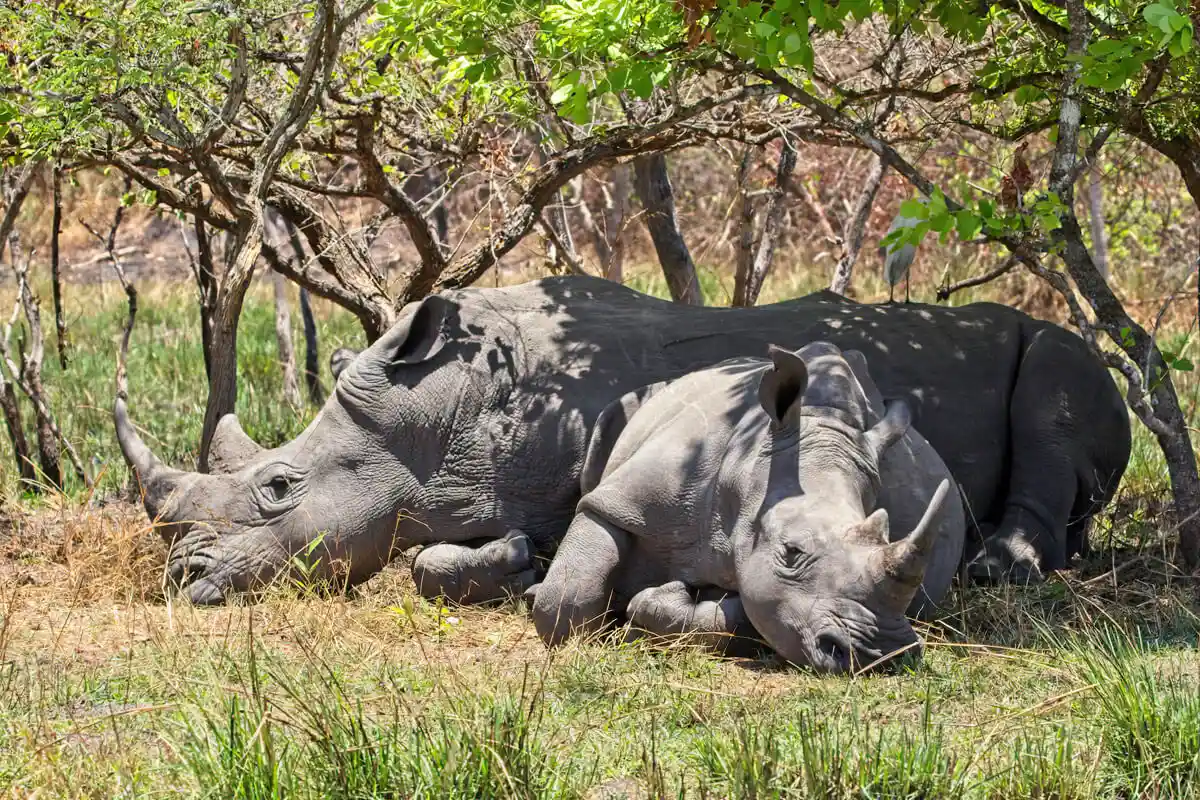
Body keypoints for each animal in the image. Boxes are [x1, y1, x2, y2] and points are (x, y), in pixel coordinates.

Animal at [113, 275, 1130, 606]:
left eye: (279, 488)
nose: (180, 577)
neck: (438, 417)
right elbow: (422, 555)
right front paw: (500, 558)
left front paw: (516, 560)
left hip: (1066, 350)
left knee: (1058, 376)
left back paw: (1002, 568)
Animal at [530, 342, 965, 673]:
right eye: (791, 551)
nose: (881, 655)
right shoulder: (626, 498)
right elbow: (565, 600)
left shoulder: (778, 594)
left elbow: (751, 616)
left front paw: (650, 611)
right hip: (637, 404)